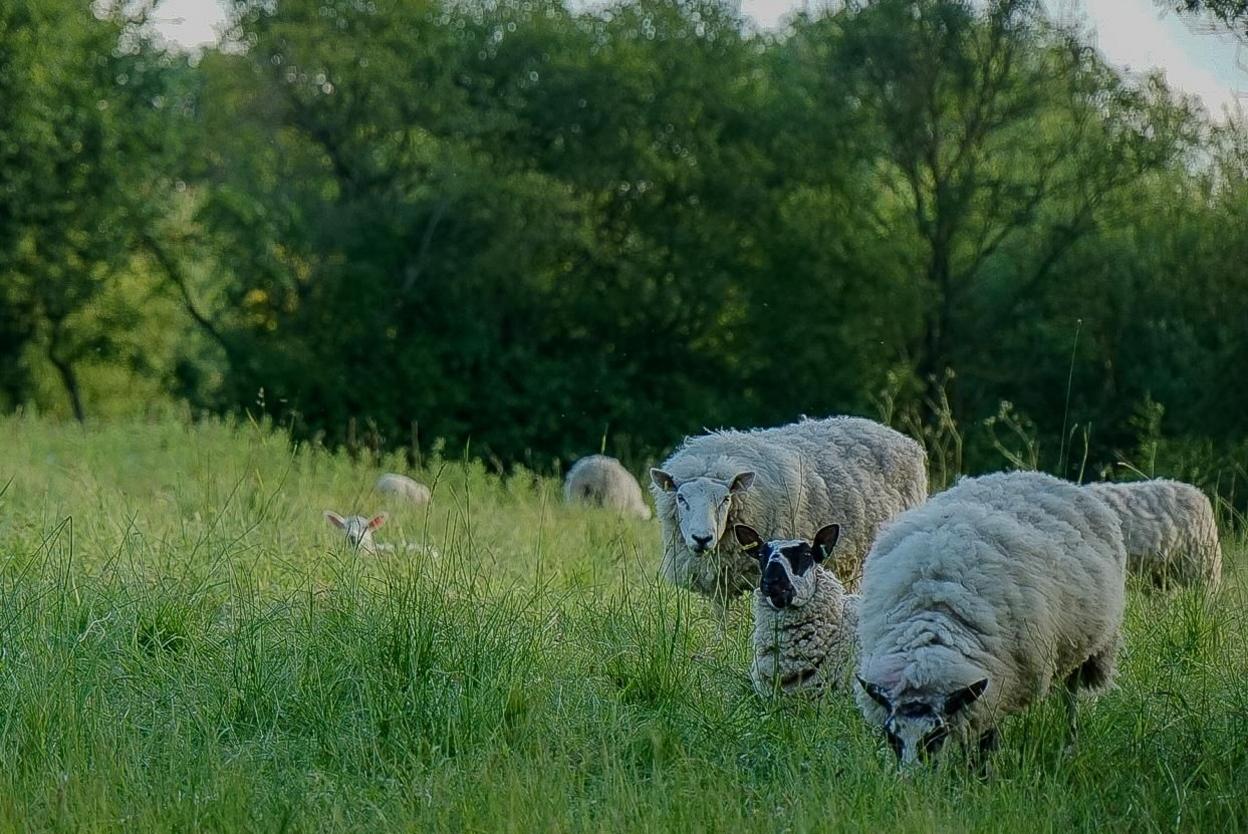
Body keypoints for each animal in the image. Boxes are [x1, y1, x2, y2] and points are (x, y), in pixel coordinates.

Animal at [853, 469, 1128, 769]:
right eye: (892, 737)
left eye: (936, 735)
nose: (910, 779)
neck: (932, 623)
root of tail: (1030, 473)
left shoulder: (1000, 684)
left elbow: (986, 740)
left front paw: (981, 772)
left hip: (1090, 649)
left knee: (1072, 699)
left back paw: (1069, 748)